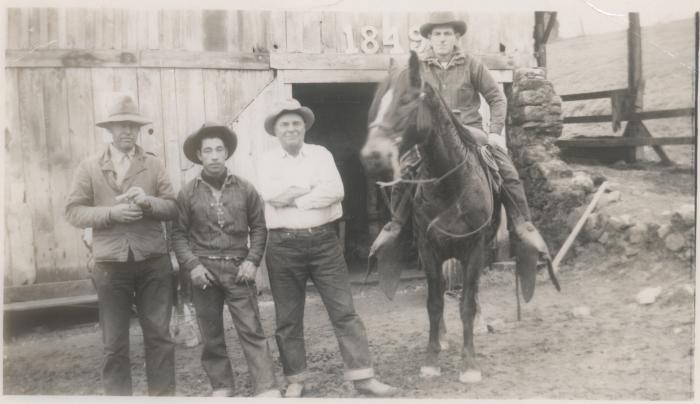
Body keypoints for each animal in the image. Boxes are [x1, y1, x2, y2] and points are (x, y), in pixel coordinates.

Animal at [360, 52, 504, 384]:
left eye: (406, 100)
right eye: (379, 101)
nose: (372, 155)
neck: (449, 184)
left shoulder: (475, 249)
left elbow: (466, 303)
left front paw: (469, 363)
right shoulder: (428, 250)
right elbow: (434, 304)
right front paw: (431, 358)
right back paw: (442, 337)